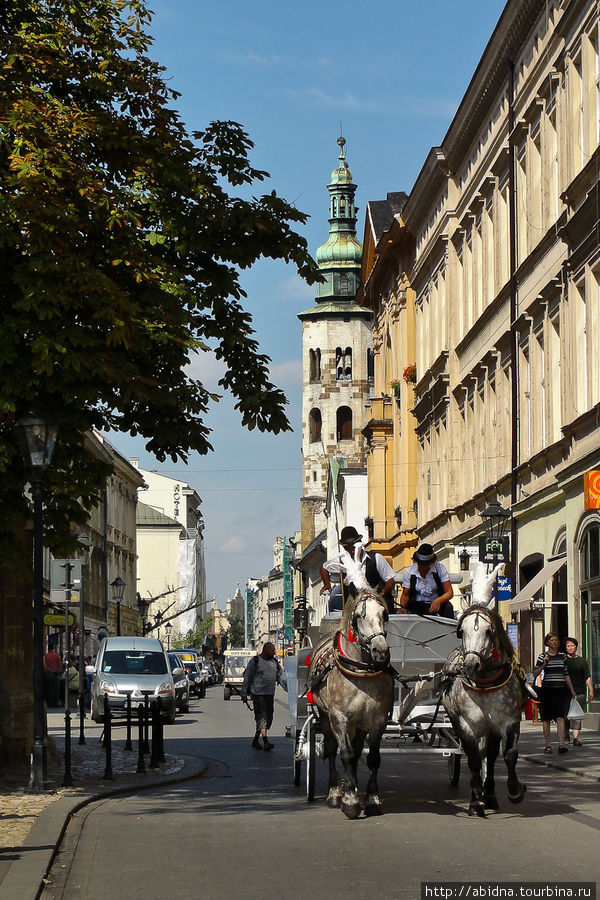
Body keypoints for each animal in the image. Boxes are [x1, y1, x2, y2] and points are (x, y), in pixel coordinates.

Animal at [304, 584, 394, 824]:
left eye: (384, 614)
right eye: (359, 616)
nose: (381, 651)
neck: (361, 672)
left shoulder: (377, 720)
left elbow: (372, 758)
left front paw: (372, 800)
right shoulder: (339, 717)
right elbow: (345, 753)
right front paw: (350, 802)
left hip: (360, 724)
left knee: (356, 751)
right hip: (326, 718)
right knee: (331, 749)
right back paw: (336, 792)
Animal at [440, 564, 524, 816]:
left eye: (489, 630)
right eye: (461, 631)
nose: (470, 665)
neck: (486, 682)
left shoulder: (509, 721)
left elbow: (509, 754)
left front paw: (514, 791)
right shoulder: (466, 725)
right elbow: (474, 760)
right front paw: (475, 800)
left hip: (492, 728)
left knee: (491, 754)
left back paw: (491, 795)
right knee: (479, 755)